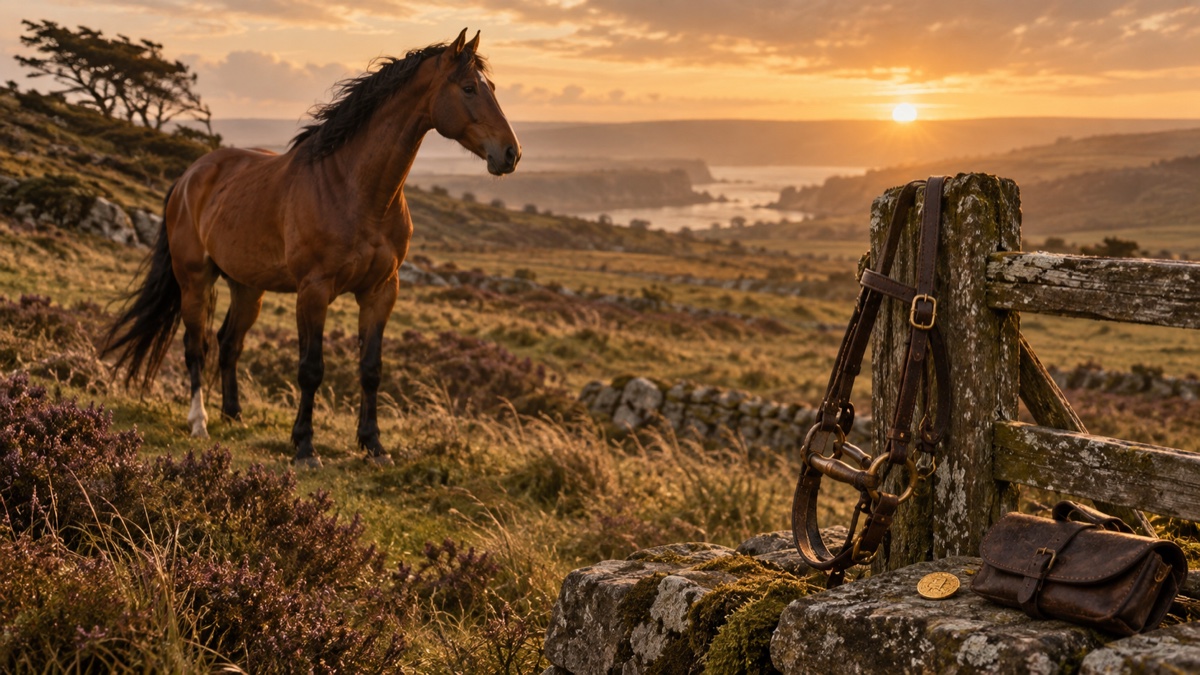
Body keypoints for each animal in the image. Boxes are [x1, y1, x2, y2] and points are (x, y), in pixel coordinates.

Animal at [101, 29, 520, 468]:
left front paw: (373, 445)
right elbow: (311, 369)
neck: (357, 191)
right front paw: (304, 447)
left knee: (229, 343)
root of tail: (188, 177)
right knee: (195, 346)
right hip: (194, 281)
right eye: (469, 88)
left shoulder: (381, 291)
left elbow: (371, 369)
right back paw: (200, 422)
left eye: (491, 88)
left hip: (247, 287)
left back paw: (233, 414)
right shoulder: (314, 291)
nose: (510, 153)